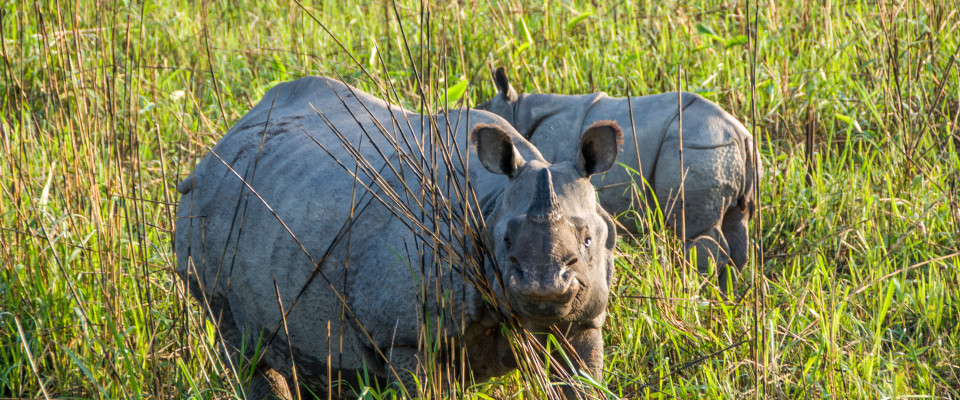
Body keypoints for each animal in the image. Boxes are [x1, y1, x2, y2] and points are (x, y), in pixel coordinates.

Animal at [175, 76, 621, 399]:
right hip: (207, 223)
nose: (544, 289)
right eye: (505, 242)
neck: (492, 202)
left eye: (588, 241)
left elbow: (582, 379)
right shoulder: (406, 337)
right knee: (243, 346)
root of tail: (220, 144)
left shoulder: (584, 319)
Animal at [478, 68, 759, 289]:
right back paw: (726, 297)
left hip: (697, 148)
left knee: (697, 231)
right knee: (737, 225)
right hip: (726, 153)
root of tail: (739, 134)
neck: (518, 110)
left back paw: (695, 289)